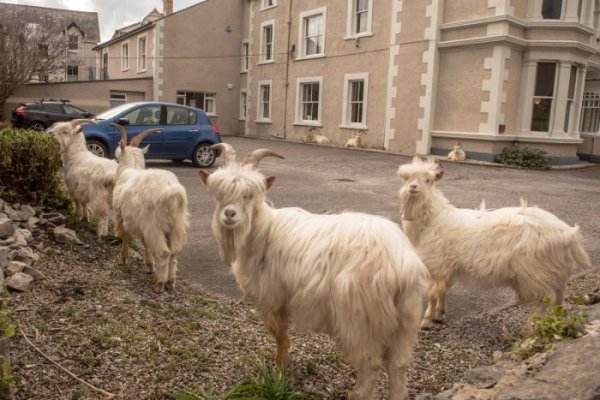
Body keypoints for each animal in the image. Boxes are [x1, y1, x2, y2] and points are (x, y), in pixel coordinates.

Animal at [111, 123, 189, 292]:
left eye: (117, 156)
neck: (130, 169)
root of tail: (171, 191)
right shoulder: (141, 223)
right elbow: (144, 242)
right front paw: (150, 265)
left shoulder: (123, 216)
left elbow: (126, 236)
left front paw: (123, 258)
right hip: (177, 225)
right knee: (174, 252)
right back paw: (170, 281)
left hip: (155, 224)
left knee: (165, 252)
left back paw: (159, 283)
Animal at [202, 145, 432, 400]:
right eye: (218, 194)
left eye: (249, 194)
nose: (229, 215)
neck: (262, 230)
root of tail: (402, 264)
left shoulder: (273, 297)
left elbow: (279, 334)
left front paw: (280, 366)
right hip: (405, 321)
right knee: (397, 366)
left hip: (360, 320)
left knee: (370, 365)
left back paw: (355, 394)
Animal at [398, 156, 592, 328]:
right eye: (406, 178)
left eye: (429, 180)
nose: (413, 187)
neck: (434, 218)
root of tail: (567, 233)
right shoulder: (448, 268)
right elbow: (442, 291)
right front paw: (440, 314)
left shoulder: (437, 265)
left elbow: (432, 294)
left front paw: (426, 320)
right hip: (558, 273)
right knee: (559, 299)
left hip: (536, 274)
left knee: (542, 302)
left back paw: (529, 330)